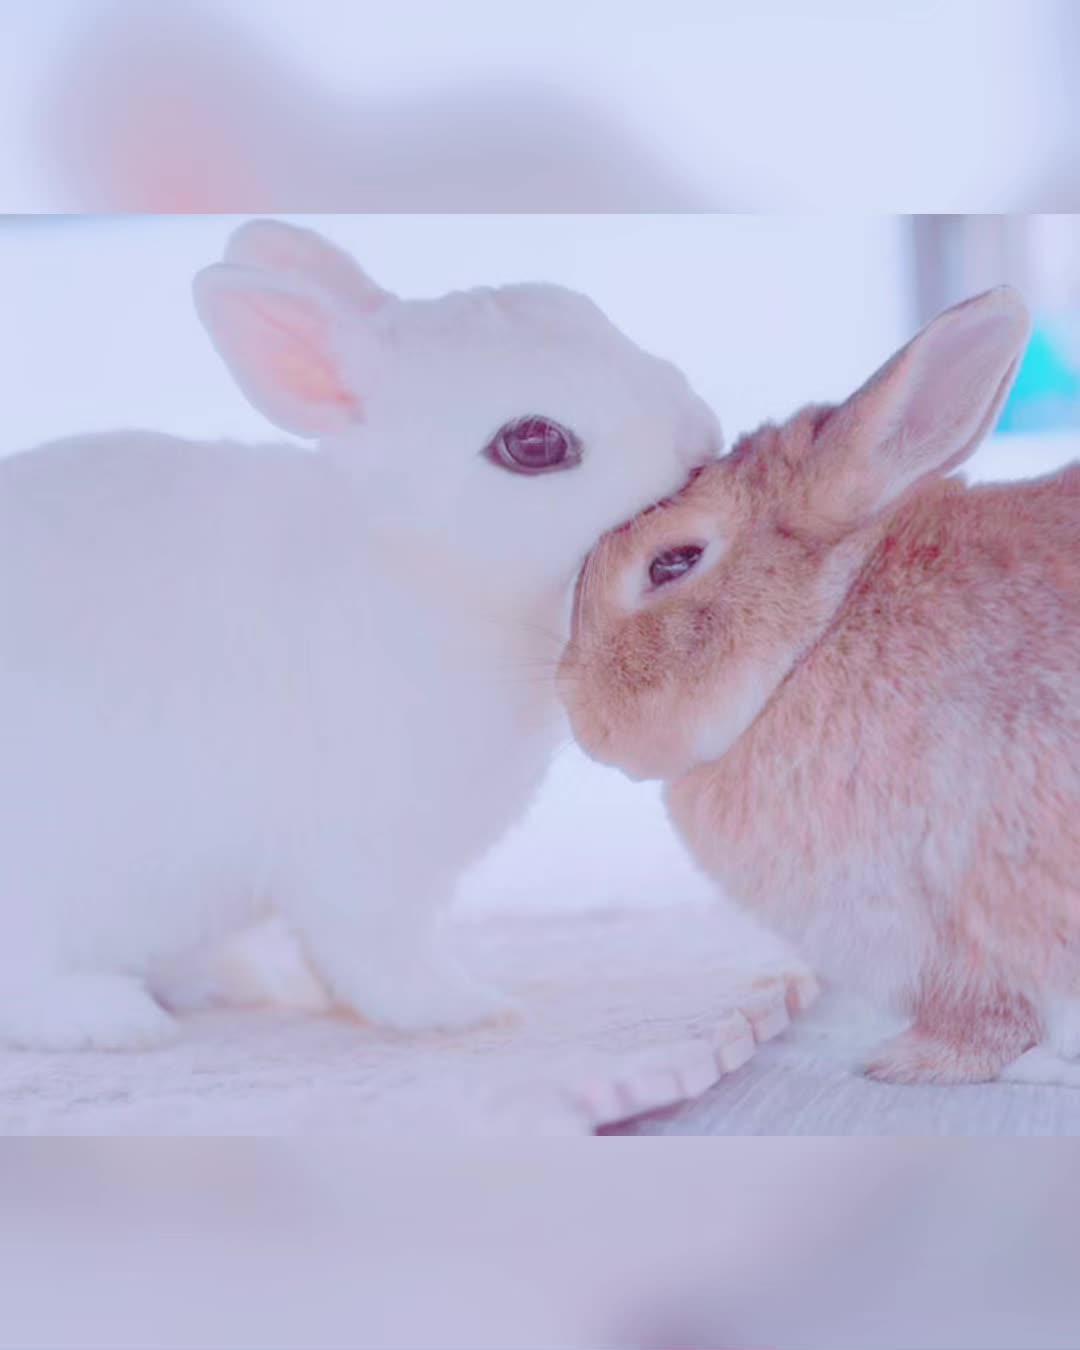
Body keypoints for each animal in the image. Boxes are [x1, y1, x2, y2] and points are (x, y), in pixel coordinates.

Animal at [0, 217, 720, 1050]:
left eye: (587, 314)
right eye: (534, 443)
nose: (700, 439)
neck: (418, 568)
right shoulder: (360, 862)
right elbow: (376, 956)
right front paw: (467, 1009)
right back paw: (111, 1017)